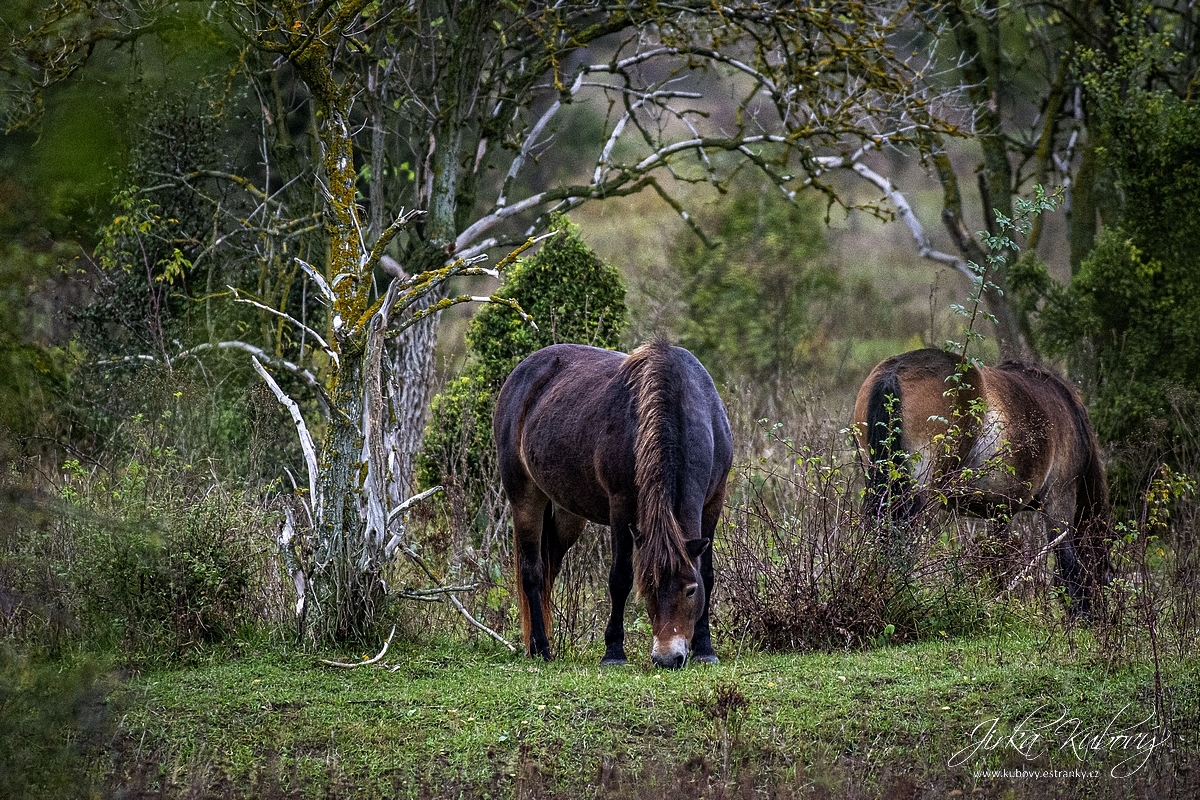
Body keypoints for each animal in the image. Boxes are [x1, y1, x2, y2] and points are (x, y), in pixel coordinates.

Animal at [494, 338, 729, 671]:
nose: (667, 658)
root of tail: (520, 375)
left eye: (690, 590)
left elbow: (707, 574)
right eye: (649, 588)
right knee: (533, 572)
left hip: (568, 516)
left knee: (549, 567)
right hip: (525, 496)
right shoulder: (622, 507)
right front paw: (614, 652)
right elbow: (620, 578)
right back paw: (541, 647)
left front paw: (705, 649)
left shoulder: (714, 502)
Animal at [849, 347, 1108, 618]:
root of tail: (895, 371)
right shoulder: (1060, 498)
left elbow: (998, 560)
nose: (1101, 618)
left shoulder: (1000, 511)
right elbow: (1068, 563)